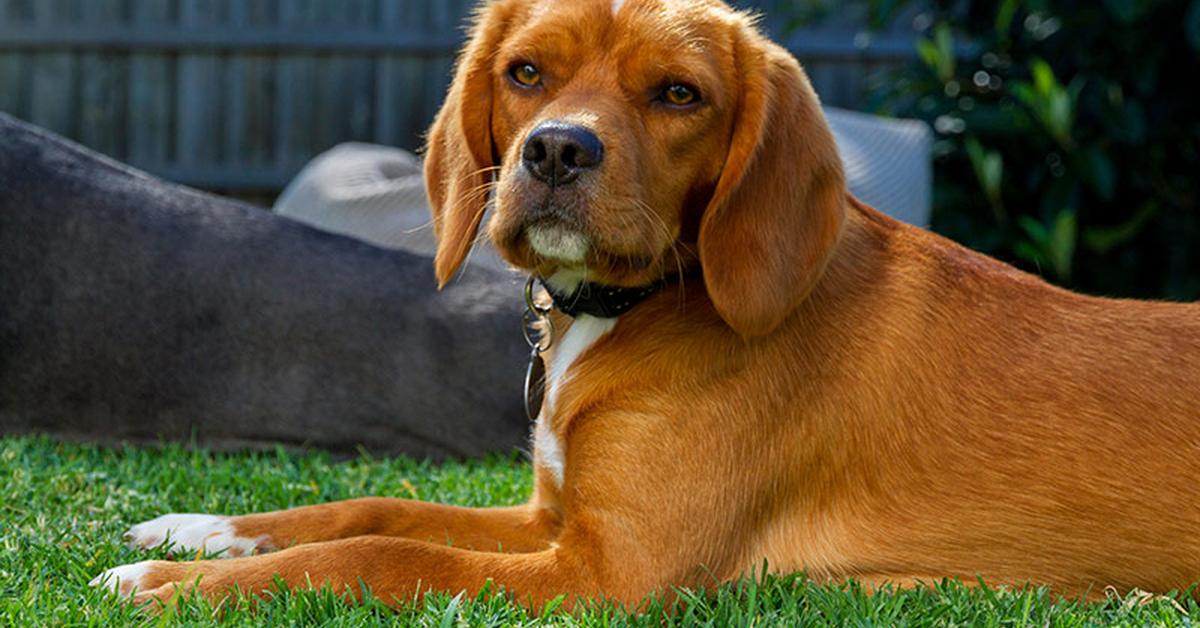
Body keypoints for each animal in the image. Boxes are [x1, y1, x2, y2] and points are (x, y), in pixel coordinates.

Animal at [93, 0, 1200, 612]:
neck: (632, 306)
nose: (555, 150)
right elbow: (373, 506)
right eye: (525, 71)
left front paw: (175, 592)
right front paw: (202, 532)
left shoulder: (608, 570)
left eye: (679, 94)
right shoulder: (553, 516)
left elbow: (384, 551)